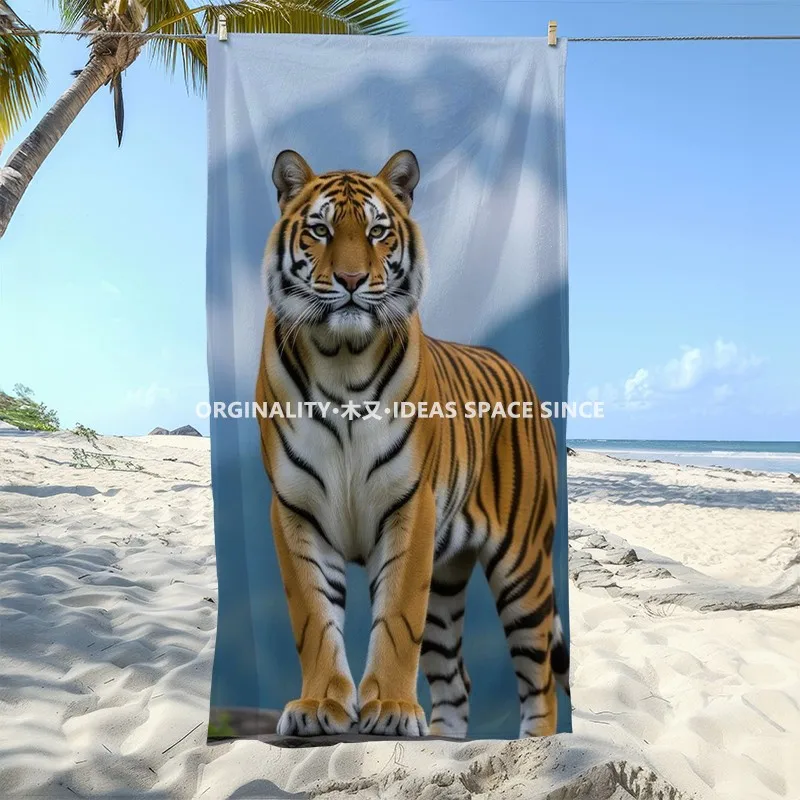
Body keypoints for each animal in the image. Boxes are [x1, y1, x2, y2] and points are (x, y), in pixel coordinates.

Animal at [255, 148, 570, 740]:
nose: (352, 279)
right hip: (447, 579)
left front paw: (393, 708)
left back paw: (538, 746)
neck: (342, 359)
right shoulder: (296, 511)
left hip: (523, 567)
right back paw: (442, 743)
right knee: (456, 679)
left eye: (377, 231)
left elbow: (398, 618)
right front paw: (319, 705)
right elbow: (314, 617)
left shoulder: (409, 506)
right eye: (320, 230)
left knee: (539, 679)